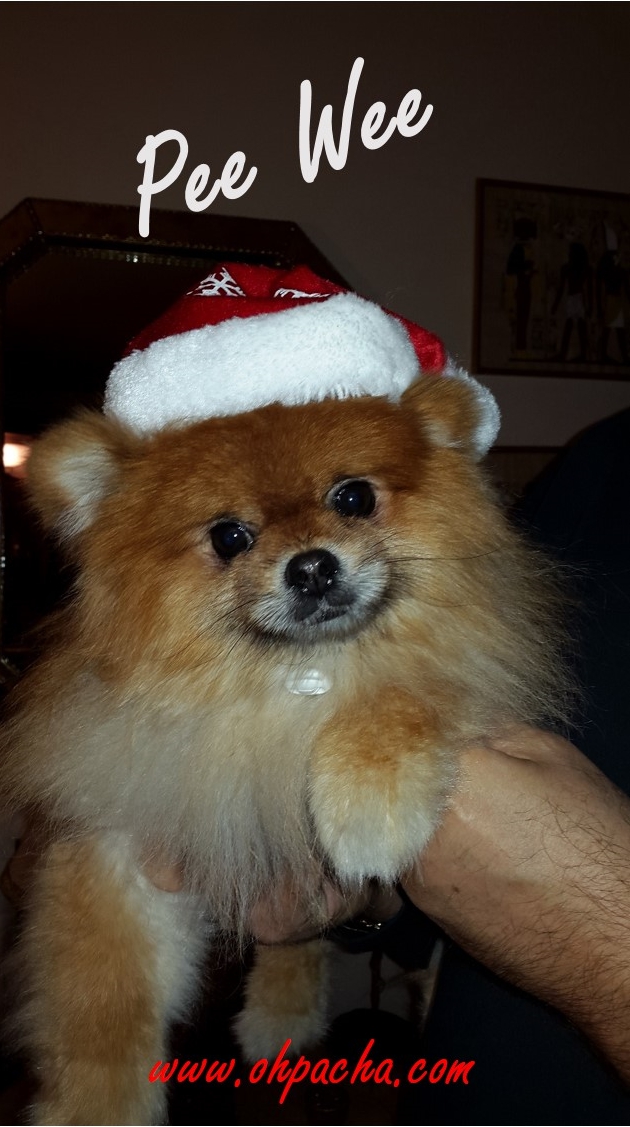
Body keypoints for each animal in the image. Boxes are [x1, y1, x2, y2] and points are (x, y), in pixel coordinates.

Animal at [0, 265, 561, 1127]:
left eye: (354, 497)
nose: (312, 566)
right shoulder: (128, 841)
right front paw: (97, 1106)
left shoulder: (463, 666)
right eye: (229, 536)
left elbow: (404, 688)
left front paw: (371, 799)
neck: (285, 685)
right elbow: (102, 1004)